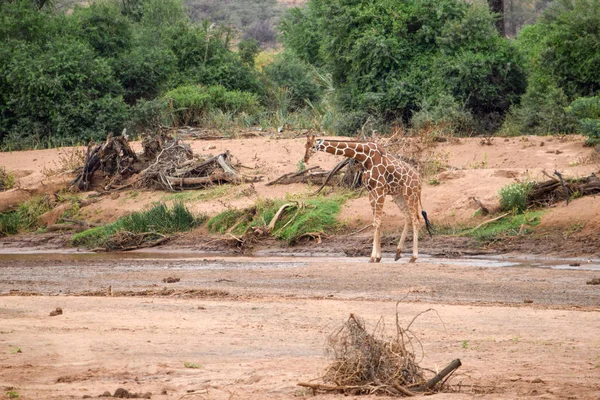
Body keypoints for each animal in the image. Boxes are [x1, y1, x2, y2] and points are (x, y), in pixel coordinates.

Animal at [304, 136, 432, 264]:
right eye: (305, 145)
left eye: (312, 145)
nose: (305, 159)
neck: (365, 157)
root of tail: (419, 179)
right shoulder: (371, 191)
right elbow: (376, 222)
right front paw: (377, 257)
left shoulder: (380, 190)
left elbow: (377, 222)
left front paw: (373, 257)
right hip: (398, 195)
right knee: (408, 218)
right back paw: (398, 253)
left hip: (410, 193)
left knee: (416, 220)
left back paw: (413, 257)